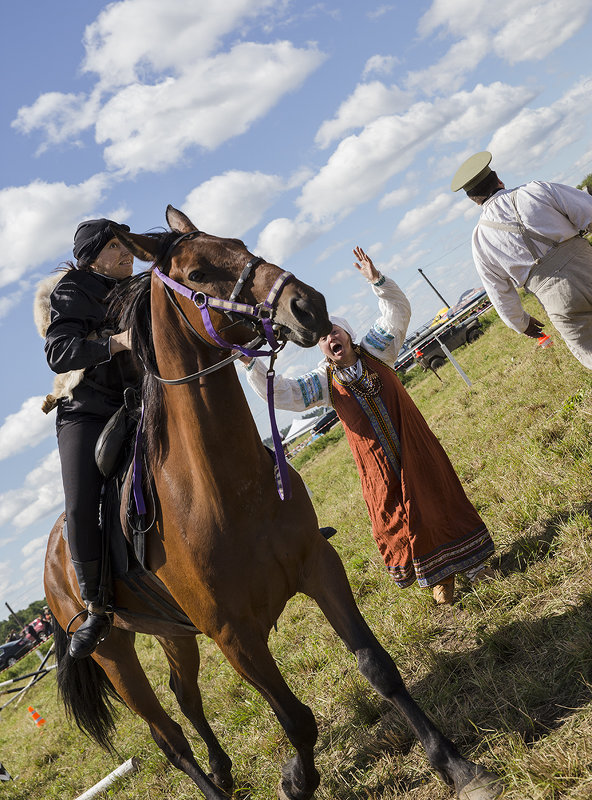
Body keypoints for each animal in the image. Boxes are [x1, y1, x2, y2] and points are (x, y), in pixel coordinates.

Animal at [44, 208, 502, 800]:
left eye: (238, 242)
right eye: (197, 273)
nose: (308, 305)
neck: (225, 489)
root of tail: (53, 552)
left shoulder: (318, 567)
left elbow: (377, 666)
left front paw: (457, 766)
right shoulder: (234, 637)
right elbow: (295, 719)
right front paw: (296, 780)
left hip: (173, 634)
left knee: (185, 697)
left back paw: (222, 769)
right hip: (114, 653)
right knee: (168, 737)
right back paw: (212, 784)